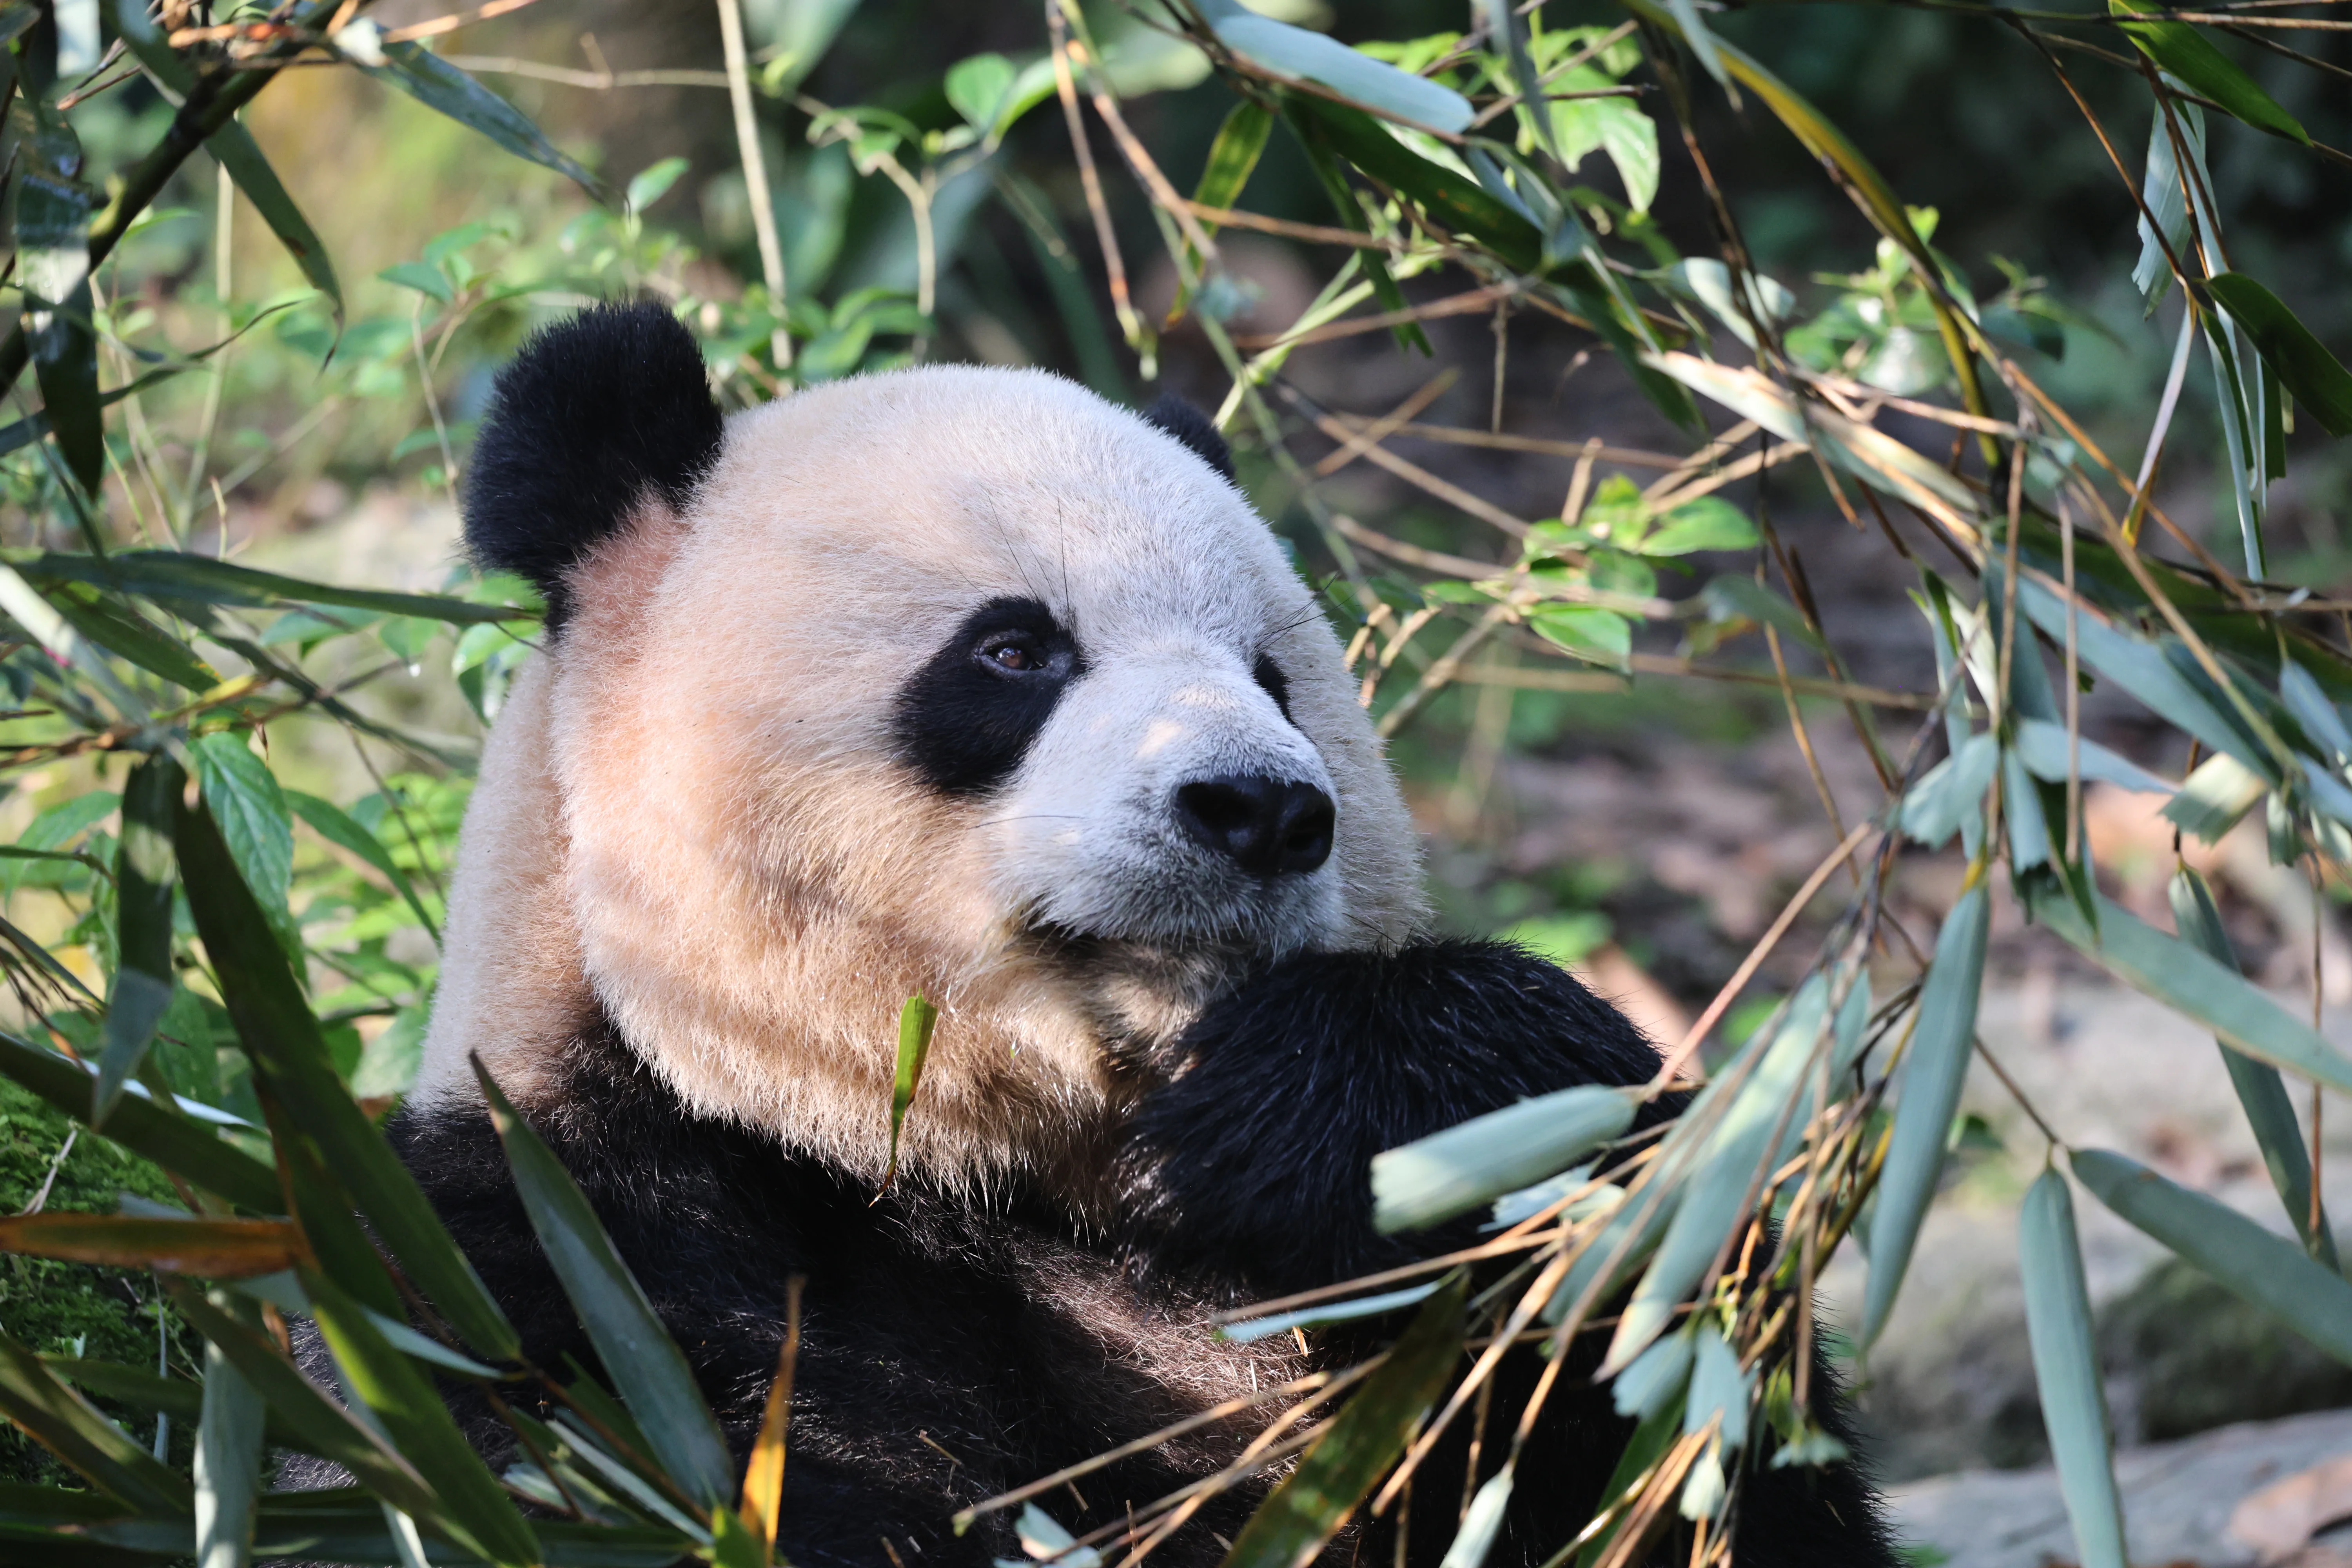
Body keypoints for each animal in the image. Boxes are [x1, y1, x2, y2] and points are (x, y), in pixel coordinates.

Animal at [391, 302, 1893, 1568]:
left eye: (1273, 677)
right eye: (1013, 651)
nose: (1260, 811)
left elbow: (1686, 1440)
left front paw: (1351, 1091)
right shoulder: (580, 1267)